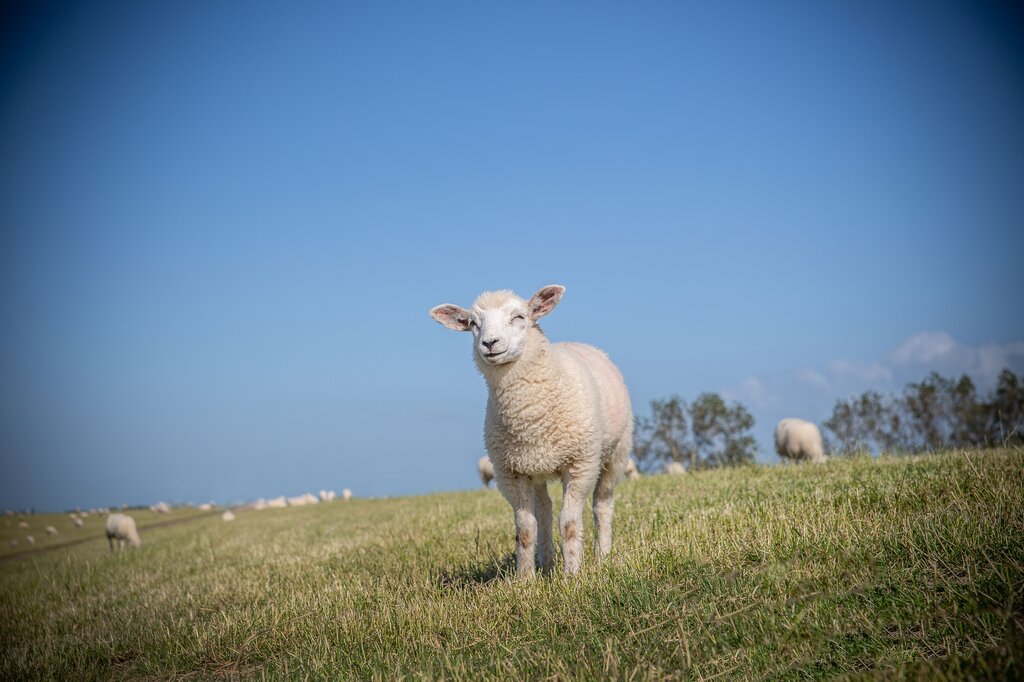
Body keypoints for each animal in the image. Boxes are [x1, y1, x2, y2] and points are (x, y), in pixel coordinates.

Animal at [430, 285, 633, 577]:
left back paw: (602, 557)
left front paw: (572, 575)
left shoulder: (580, 465)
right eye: (473, 324)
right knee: (545, 510)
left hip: (616, 455)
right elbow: (525, 528)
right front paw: (525, 579)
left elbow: (569, 523)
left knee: (602, 504)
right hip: (535, 467)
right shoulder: (510, 473)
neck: (529, 417)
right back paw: (546, 562)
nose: (489, 343)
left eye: (519, 317)